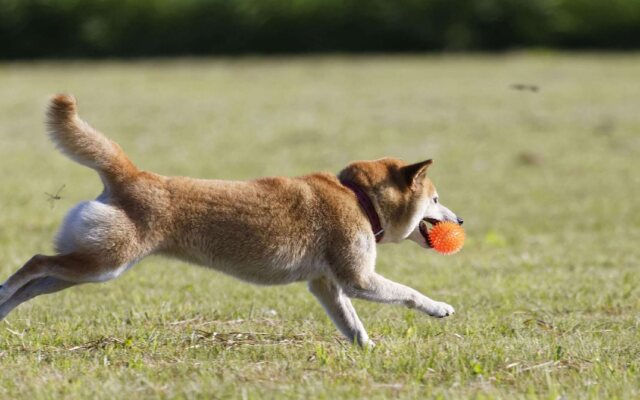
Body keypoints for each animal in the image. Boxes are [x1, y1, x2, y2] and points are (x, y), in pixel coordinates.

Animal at [0, 94, 462, 346]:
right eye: (436, 199)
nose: (459, 219)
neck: (359, 198)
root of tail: (131, 174)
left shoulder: (326, 285)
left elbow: (351, 324)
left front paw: (369, 350)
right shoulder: (358, 279)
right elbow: (408, 293)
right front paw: (438, 307)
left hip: (94, 266)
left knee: (38, 281)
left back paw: (2, 309)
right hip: (104, 262)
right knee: (36, 262)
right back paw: (3, 291)